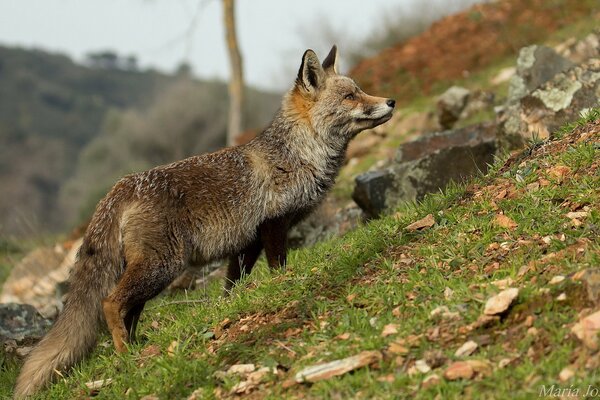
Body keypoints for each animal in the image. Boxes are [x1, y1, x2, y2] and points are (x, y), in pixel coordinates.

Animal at [12, 44, 394, 396]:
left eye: (359, 90)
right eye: (350, 96)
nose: (390, 101)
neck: (297, 155)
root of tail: (120, 186)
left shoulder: (247, 243)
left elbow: (232, 288)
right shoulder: (273, 226)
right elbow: (279, 268)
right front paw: (283, 287)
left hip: (151, 273)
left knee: (128, 311)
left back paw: (135, 347)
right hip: (162, 266)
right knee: (111, 303)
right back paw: (124, 355)